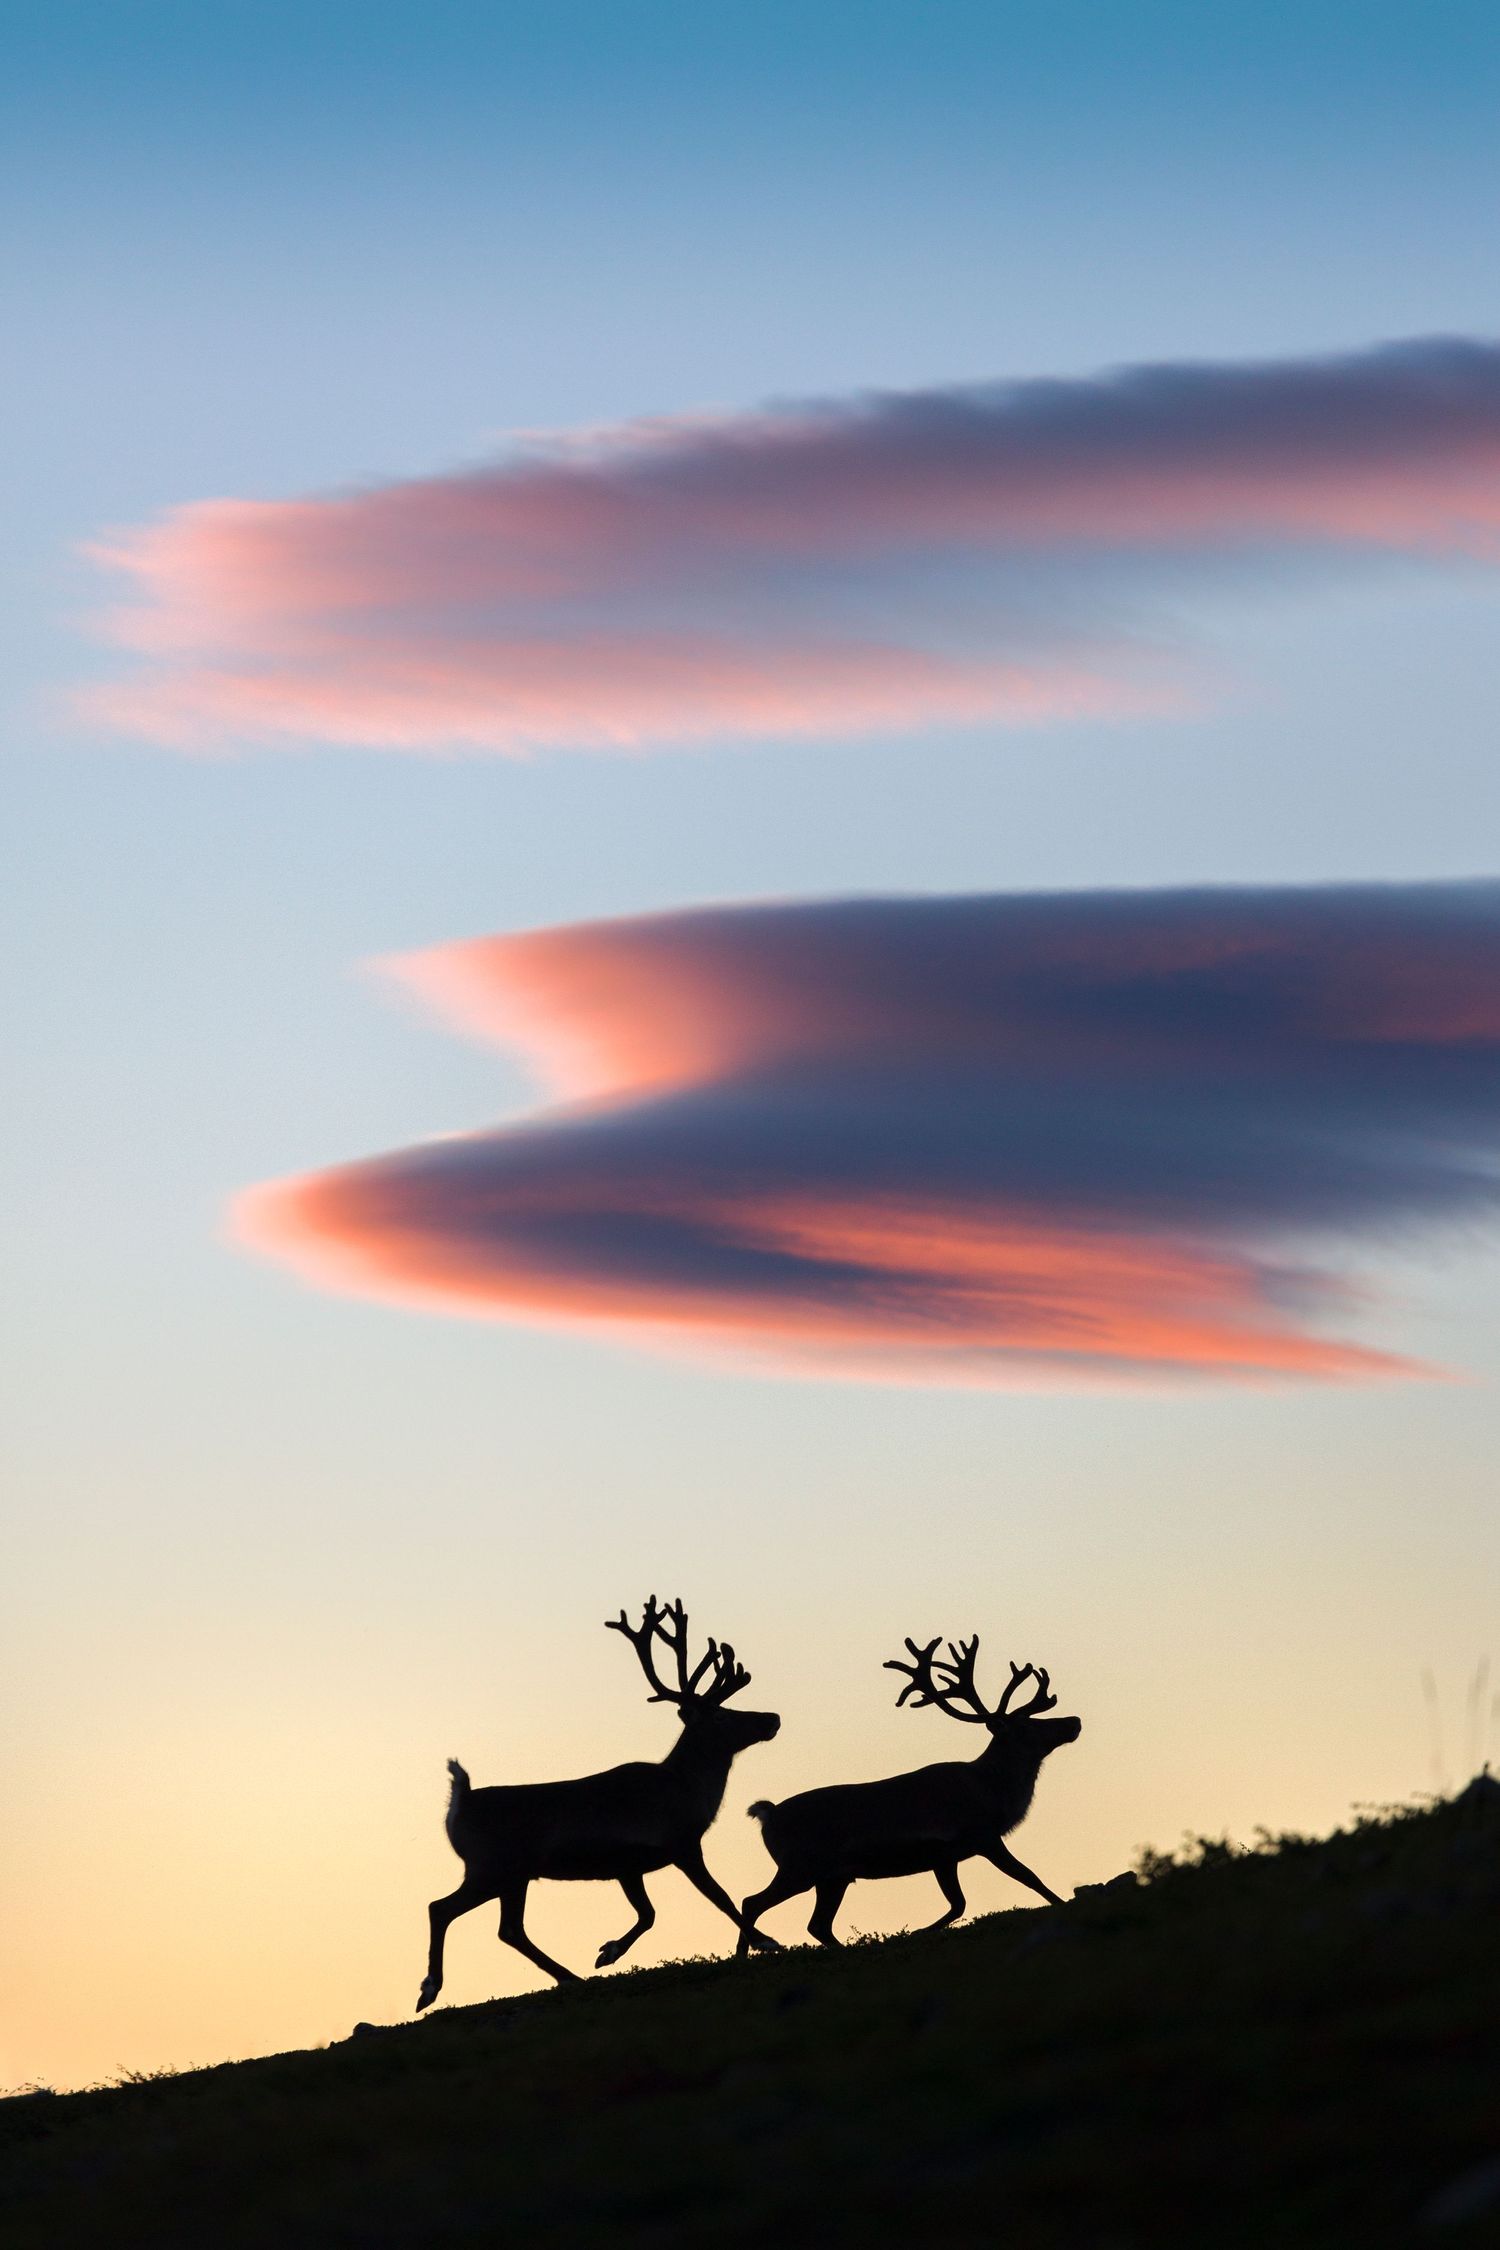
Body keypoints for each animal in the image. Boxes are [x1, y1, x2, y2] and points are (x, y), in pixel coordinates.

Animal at [416, 1597, 781, 2009]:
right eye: (720, 1714)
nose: (771, 1718)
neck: (687, 1789)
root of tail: (459, 1801)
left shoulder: (628, 1865)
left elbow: (648, 1914)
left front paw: (608, 1952)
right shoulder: (680, 1843)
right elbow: (720, 1897)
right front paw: (767, 1941)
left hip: (512, 1874)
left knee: (508, 1928)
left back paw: (568, 1976)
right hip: (492, 1866)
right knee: (442, 1908)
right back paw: (430, 1987)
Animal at [736, 1633, 1080, 1952]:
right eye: (1026, 1725)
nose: (1074, 1720)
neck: (991, 1790)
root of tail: (767, 1814)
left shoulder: (945, 1856)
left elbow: (959, 1904)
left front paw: (919, 1930)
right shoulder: (981, 1835)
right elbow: (1028, 1876)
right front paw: (1062, 1903)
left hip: (832, 1877)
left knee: (817, 1924)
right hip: (799, 1866)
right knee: (752, 1902)